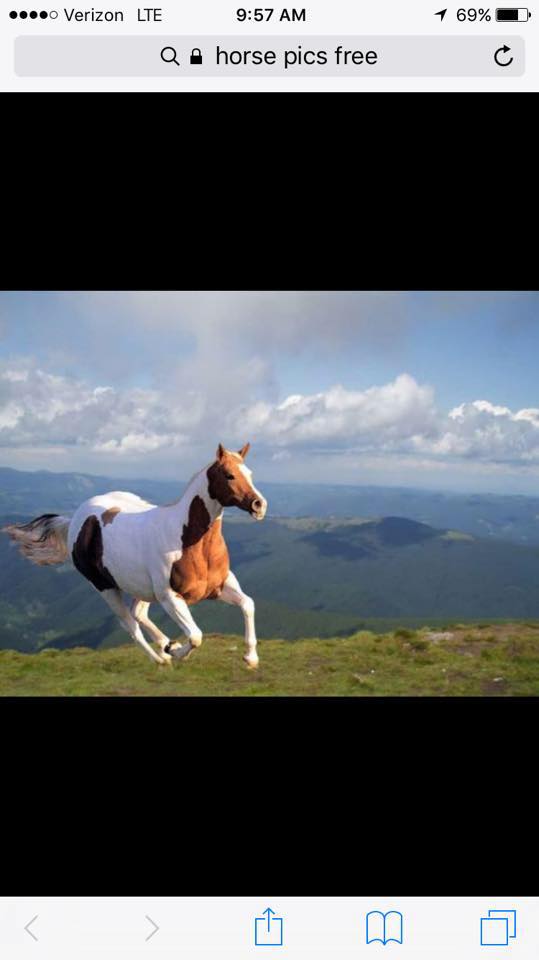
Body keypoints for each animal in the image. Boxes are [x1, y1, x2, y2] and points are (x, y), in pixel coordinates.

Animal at [2, 443, 267, 667]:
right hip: (106, 588)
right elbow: (195, 636)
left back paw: (166, 645)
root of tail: (75, 520)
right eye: (229, 475)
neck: (188, 541)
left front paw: (251, 658)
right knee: (130, 624)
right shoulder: (170, 597)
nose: (259, 505)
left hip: (141, 588)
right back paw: (161, 658)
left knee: (137, 614)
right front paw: (176, 652)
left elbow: (248, 604)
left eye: (251, 473)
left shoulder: (220, 585)